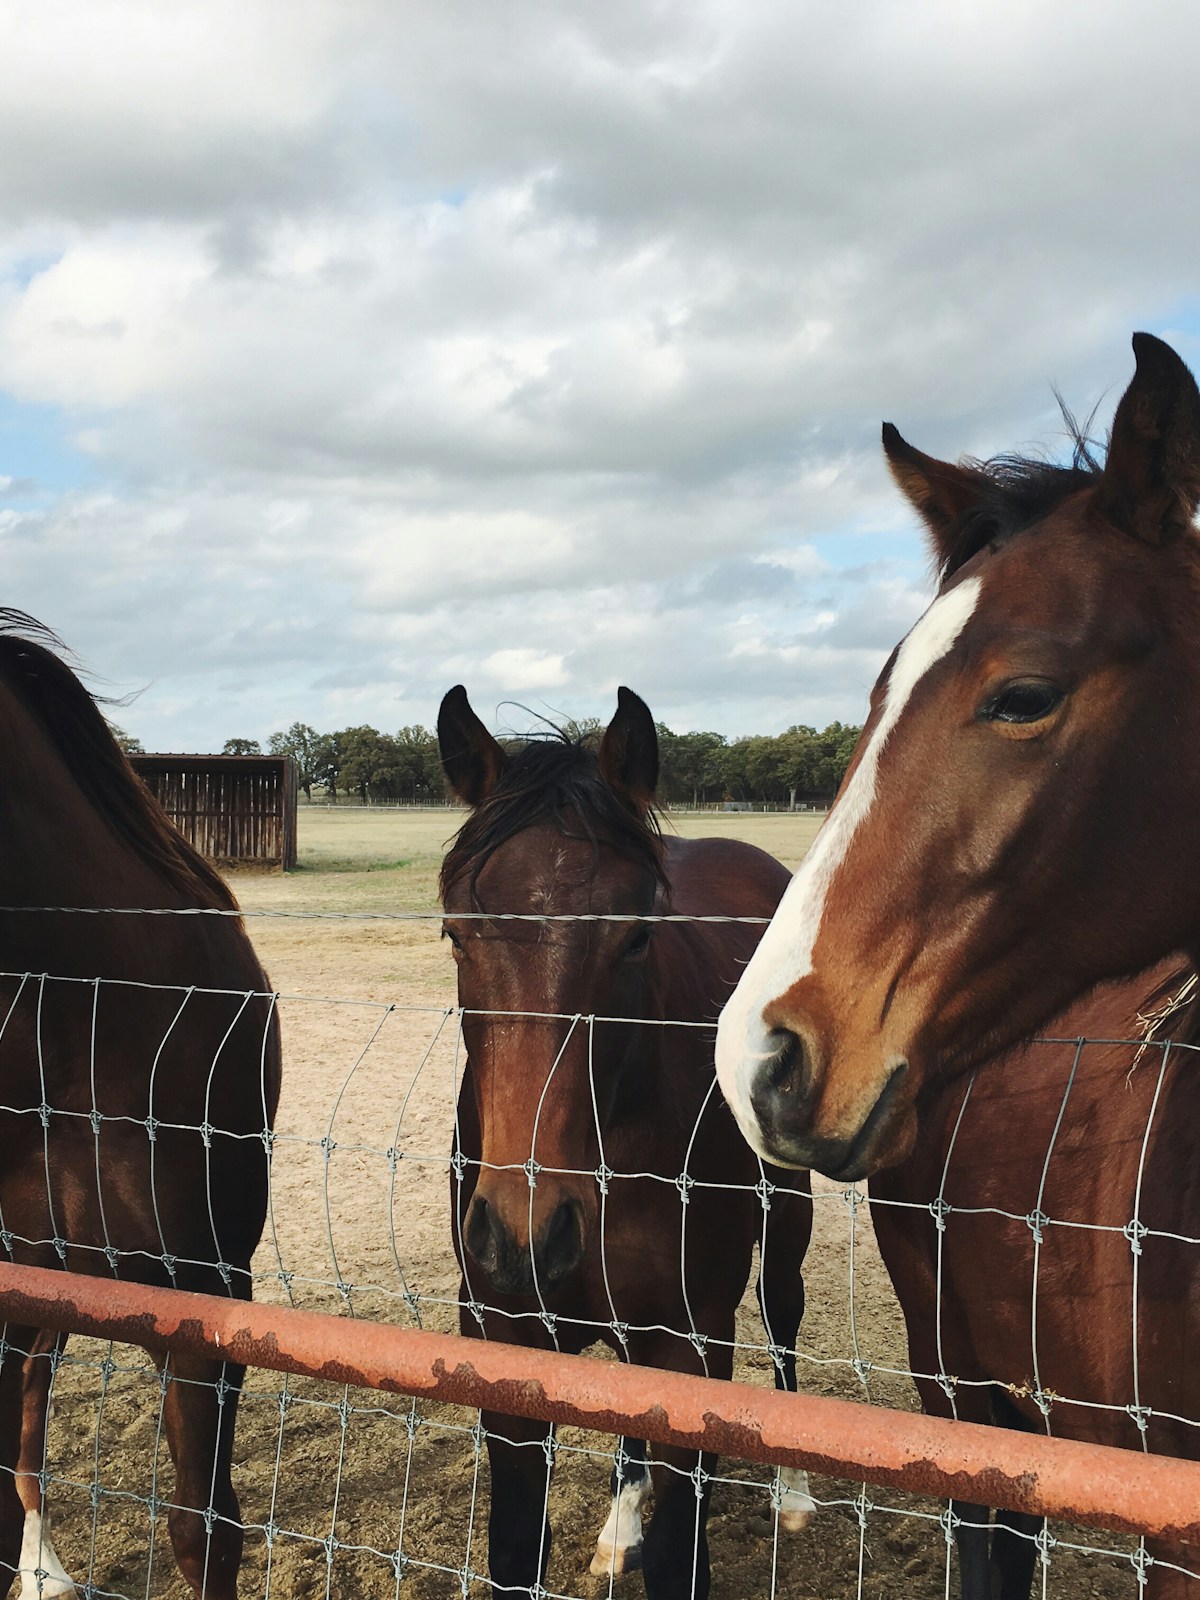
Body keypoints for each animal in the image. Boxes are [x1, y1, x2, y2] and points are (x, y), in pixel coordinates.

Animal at [437, 685, 816, 1600]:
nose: (525, 1234)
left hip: (785, 1218)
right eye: (457, 933)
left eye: (638, 934)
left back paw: (792, 1493)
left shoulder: (691, 1347)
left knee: (783, 1312)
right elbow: (515, 1551)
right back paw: (619, 1524)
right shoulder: (507, 1342)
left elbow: (683, 1557)